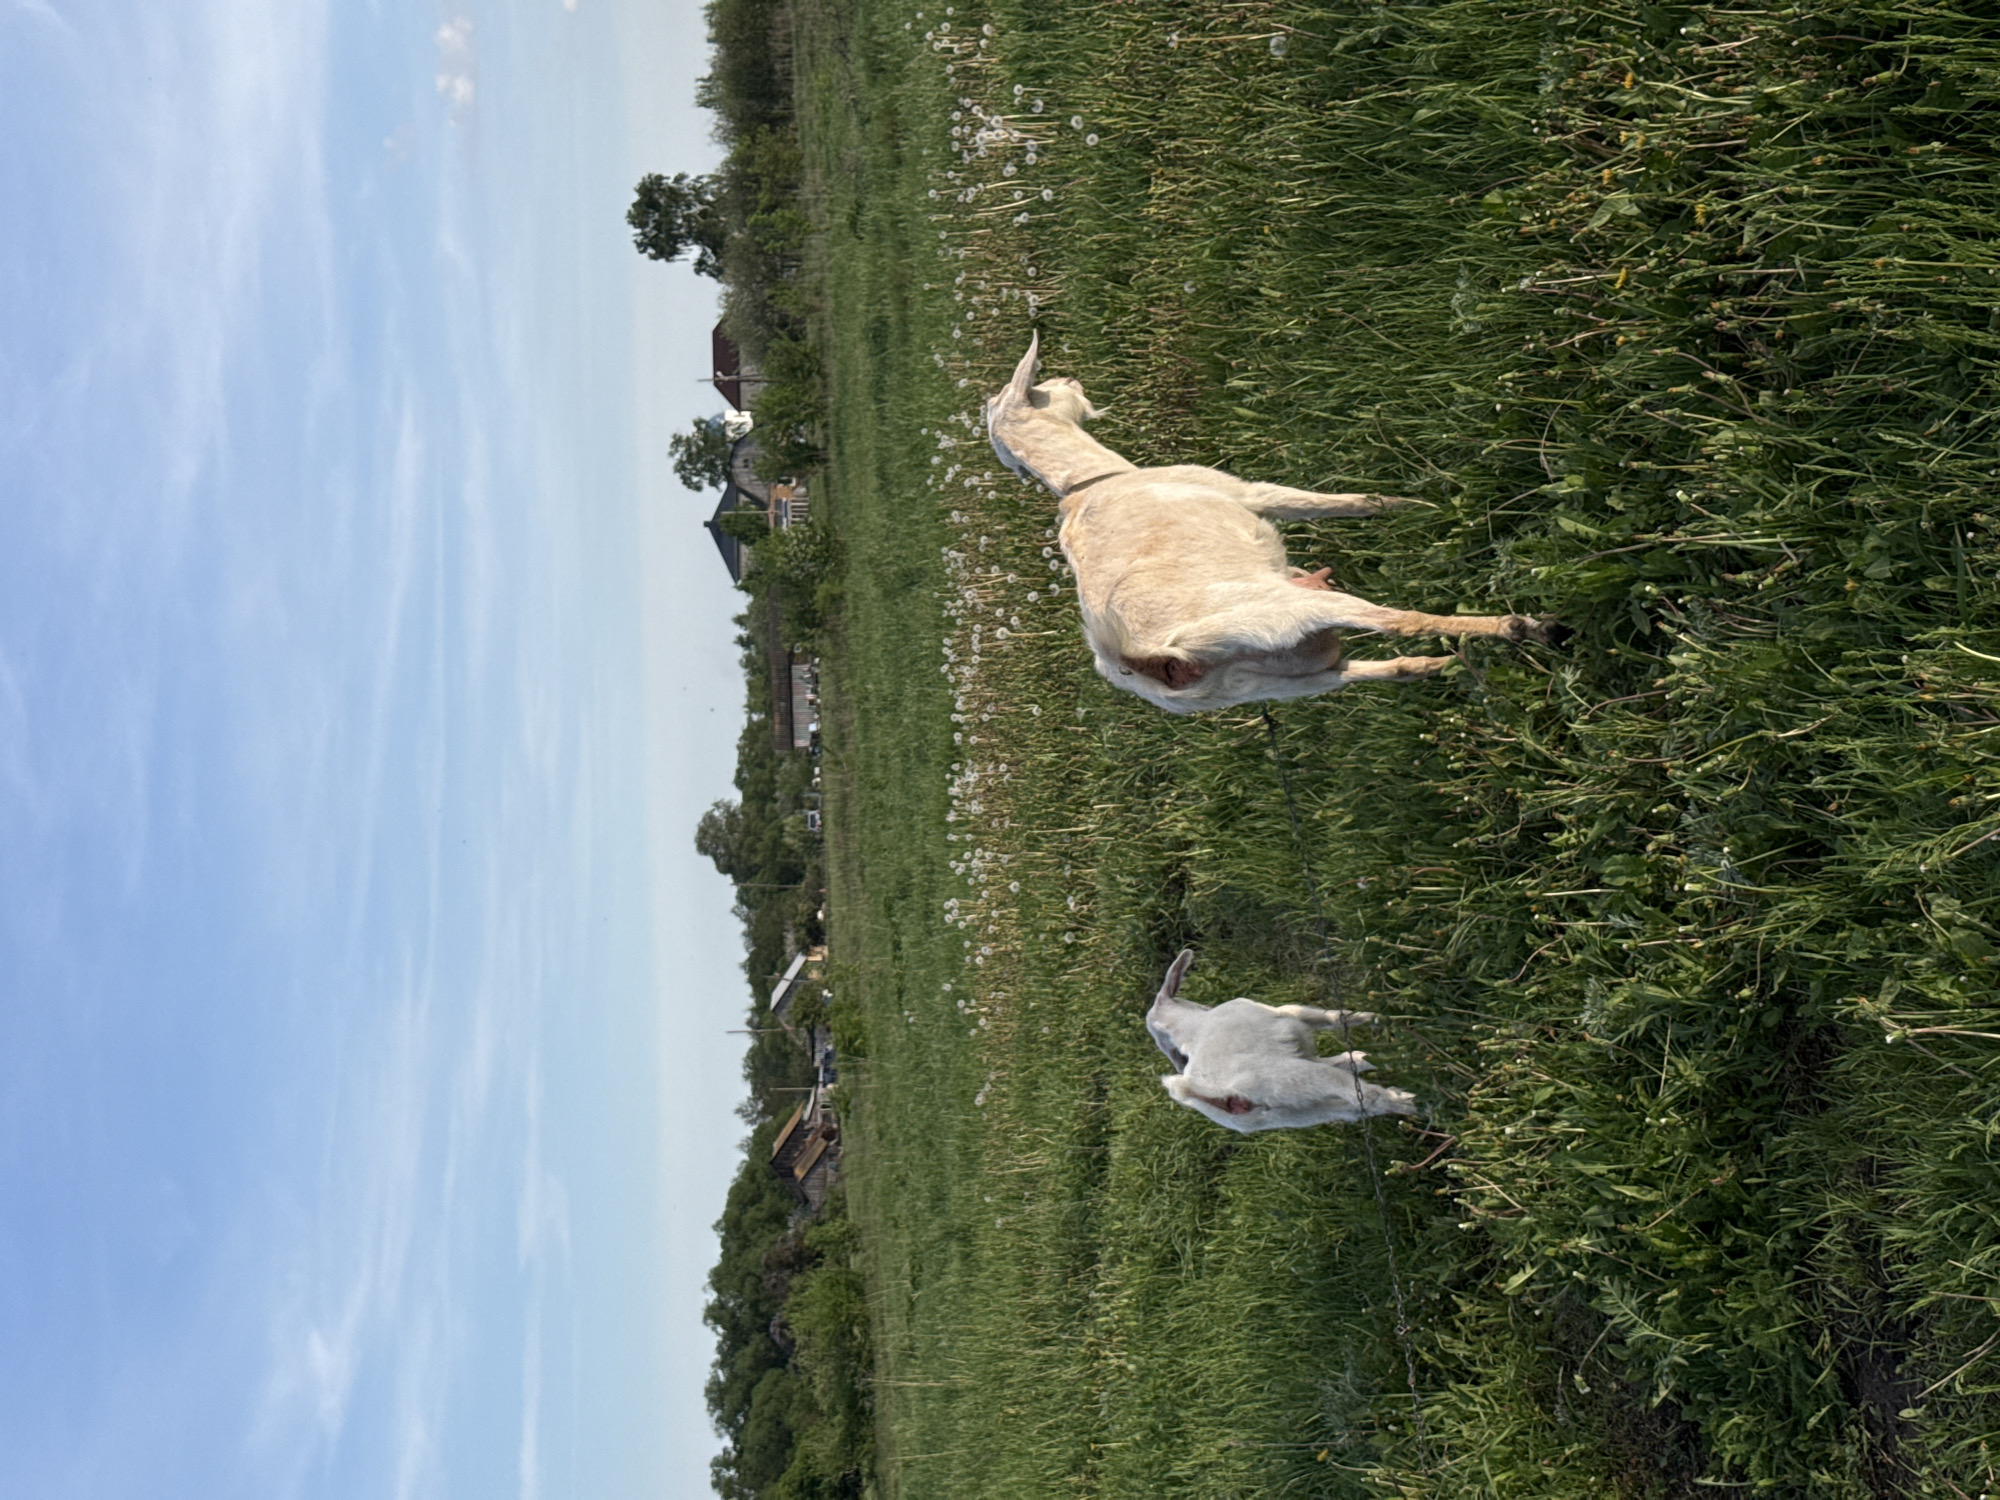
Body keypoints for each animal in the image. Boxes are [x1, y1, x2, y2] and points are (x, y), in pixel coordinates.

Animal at [985, 334, 1569, 713]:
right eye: (1040, 387)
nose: (1070, 375)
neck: (1089, 481)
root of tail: (1147, 657)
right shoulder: (1248, 493)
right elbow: (1344, 503)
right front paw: (1420, 506)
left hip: (1271, 686)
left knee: (1354, 673)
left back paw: (1436, 667)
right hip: (1280, 614)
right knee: (1398, 620)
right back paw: (1526, 627)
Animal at [1145, 950, 1416, 1132]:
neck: (1191, 1027)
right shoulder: (1284, 1020)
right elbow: (1318, 1016)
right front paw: (1369, 1018)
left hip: (1290, 1114)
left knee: (1355, 1107)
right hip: (1287, 1078)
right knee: (1361, 1094)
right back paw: (1405, 1100)